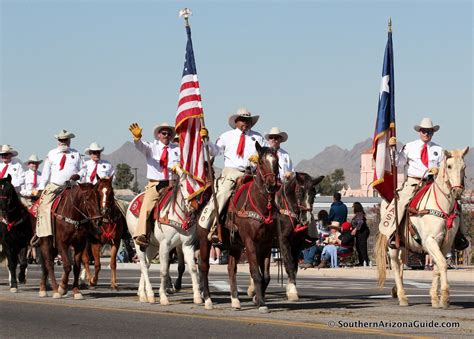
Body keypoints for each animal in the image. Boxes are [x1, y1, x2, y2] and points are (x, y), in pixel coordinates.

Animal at [126, 170, 209, 306]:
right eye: (182, 185)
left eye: (198, 185)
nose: (193, 205)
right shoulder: (165, 246)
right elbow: (164, 270)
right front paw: (163, 296)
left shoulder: (187, 245)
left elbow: (192, 268)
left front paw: (197, 297)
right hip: (138, 243)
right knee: (143, 265)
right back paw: (149, 294)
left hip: (152, 246)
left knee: (146, 265)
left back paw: (142, 294)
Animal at [197, 142, 282, 312]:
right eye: (261, 162)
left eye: (276, 161)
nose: (271, 185)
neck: (259, 204)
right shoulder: (250, 242)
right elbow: (256, 273)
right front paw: (261, 303)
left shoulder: (267, 243)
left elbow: (266, 275)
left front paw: (257, 298)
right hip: (205, 240)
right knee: (204, 266)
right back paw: (208, 300)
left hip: (234, 245)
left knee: (231, 268)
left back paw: (235, 300)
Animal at [246, 174, 324, 302]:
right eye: (299, 192)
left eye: (314, 193)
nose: (306, 219)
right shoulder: (283, 240)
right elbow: (289, 263)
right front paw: (292, 290)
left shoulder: (297, 244)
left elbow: (295, 266)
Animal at [376, 147, 468, 310]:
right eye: (449, 166)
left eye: (464, 167)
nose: (457, 192)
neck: (442, 205)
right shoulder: (430, 240)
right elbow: (442, 264)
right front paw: (445, 297)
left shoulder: (446, 242)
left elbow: (438, 267)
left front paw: (435, 298)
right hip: (393, 246)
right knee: (395, 265)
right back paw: (402, 296)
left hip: (404, 245)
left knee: (401, 264)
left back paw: (396, 291)